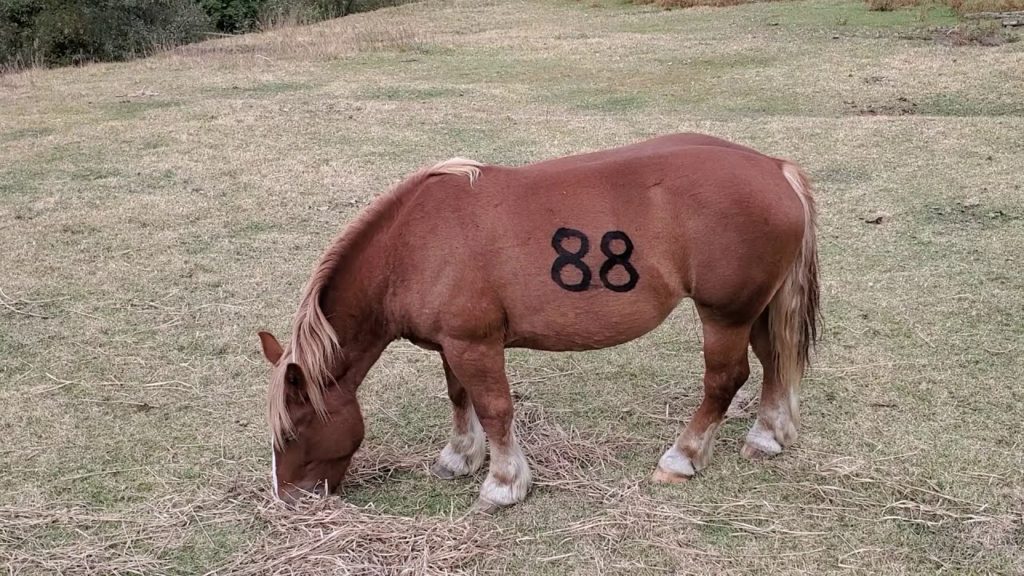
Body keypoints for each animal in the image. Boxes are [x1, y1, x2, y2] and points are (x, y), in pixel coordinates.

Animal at [257, 133, 820, 512]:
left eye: (292, 431)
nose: (288, 500)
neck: (410, 246)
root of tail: (774, 168)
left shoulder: (475, 345)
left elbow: (495, 409)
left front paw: (503, 484)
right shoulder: (453, 344)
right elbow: (460, 399)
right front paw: (459, 457)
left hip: (725, 314)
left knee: (726, 379)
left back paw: (682, 457)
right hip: (758, 308)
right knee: (775, 362)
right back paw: (768, 435)